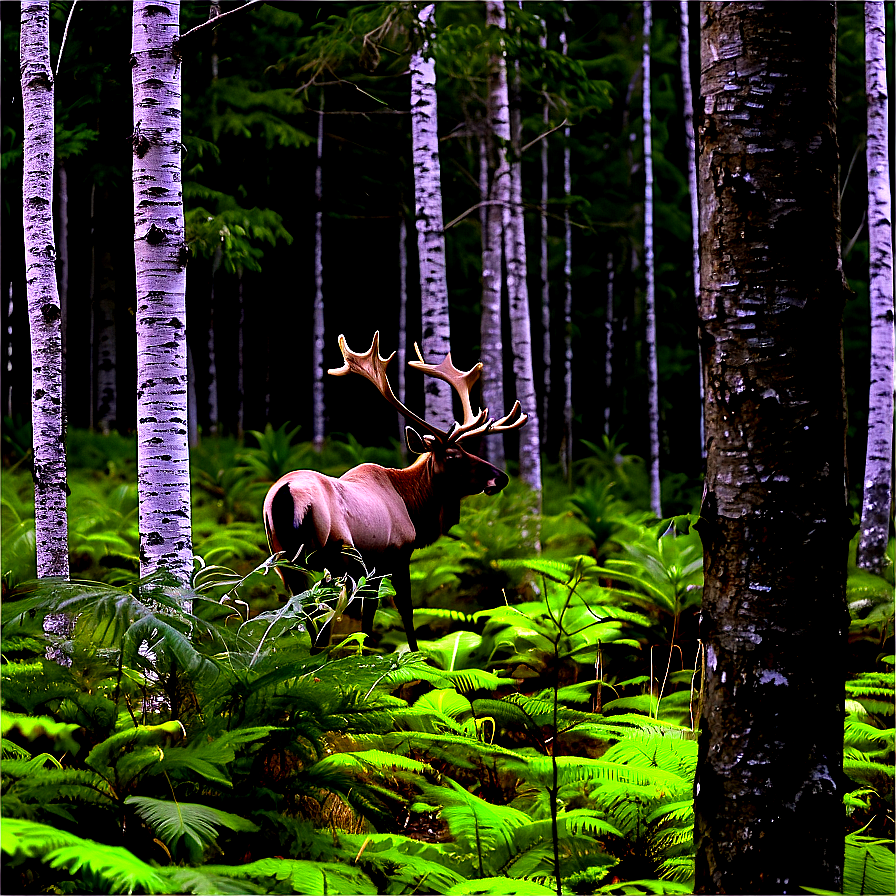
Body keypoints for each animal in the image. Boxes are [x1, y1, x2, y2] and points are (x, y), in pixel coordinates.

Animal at [260, 330, 524, 652]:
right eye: (453, 455)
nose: (501, 477)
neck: (415, 506)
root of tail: (285, 495)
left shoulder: (375, 567)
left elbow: (371, 616)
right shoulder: (394, 555)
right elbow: (402, 612)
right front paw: (411, 656)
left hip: (283, 560)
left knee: (304, 614)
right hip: (334, 555)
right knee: (322, 622)